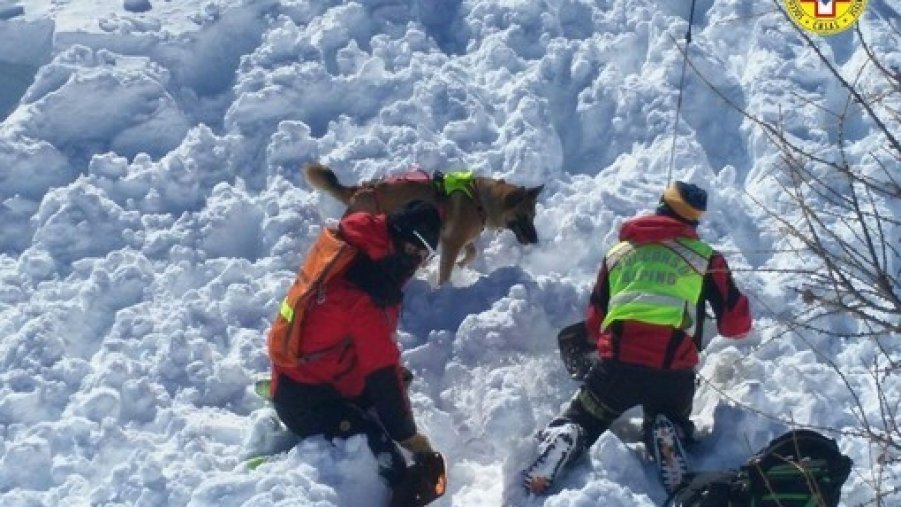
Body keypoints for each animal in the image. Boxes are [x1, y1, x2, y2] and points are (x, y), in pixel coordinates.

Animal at [302, 163, 540, 286]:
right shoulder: (452, 242)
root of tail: (359, 190)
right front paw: (444, 289)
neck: (481, 201)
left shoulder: (460, 239)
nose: (536, 240)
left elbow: (473, 252)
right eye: (524, 217)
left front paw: (461, 265)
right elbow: (446, 271)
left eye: (534, 216)